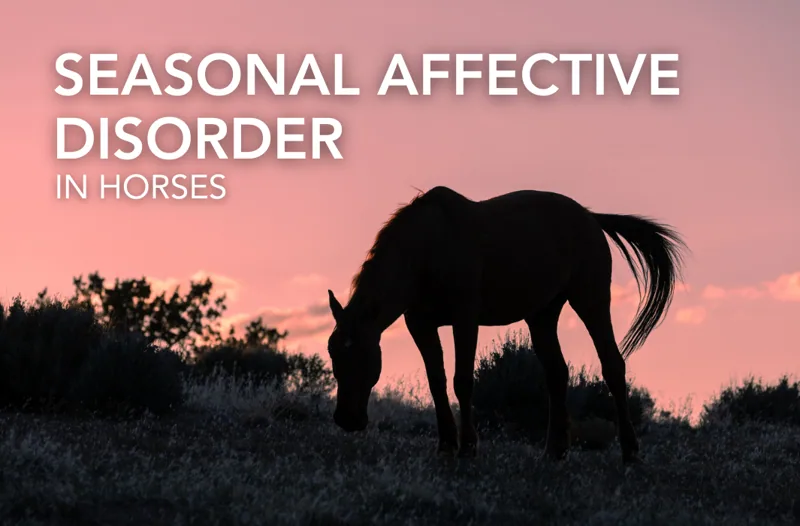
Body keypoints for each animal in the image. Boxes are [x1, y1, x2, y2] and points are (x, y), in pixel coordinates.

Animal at [326, 186, 687, 463]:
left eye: (362, 356)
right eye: (334, 355)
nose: (346, 419)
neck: (430, 248)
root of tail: (590, 218)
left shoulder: (465, 319)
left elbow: (461, 381)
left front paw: (468, 448)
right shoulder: (421, 325)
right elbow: (436, 381)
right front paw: (446, 446)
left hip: (591, 301)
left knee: (612, 366)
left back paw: (630, 453)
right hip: (542, 315)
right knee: (557, 373)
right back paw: (554, 452)